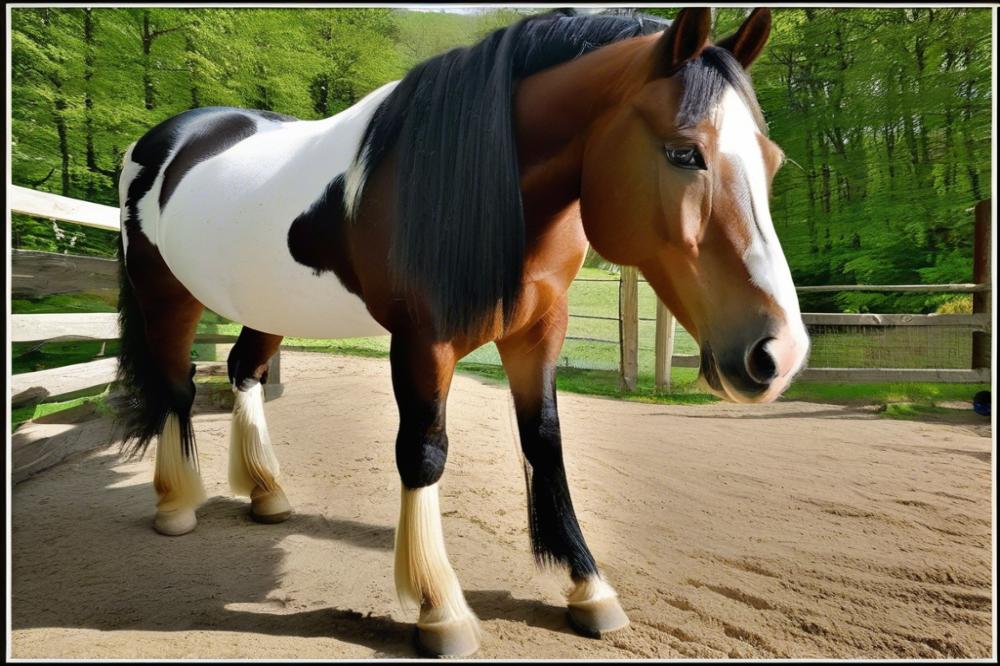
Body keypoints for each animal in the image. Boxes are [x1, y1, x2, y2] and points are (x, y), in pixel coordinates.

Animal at [113, 7, 808, 656]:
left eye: (771, 160)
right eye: (684, 150)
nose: (780, 353)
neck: (471, 180)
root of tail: (170, 137)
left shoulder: (538, 332)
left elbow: (544, 443)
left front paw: (588, 587)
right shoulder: (423, 341)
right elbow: (423, 452)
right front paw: (438, 609)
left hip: (268, 302)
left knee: (244, 371)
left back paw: (267, 491)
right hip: (166, 294)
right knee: (177, 386)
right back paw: (176, 504)